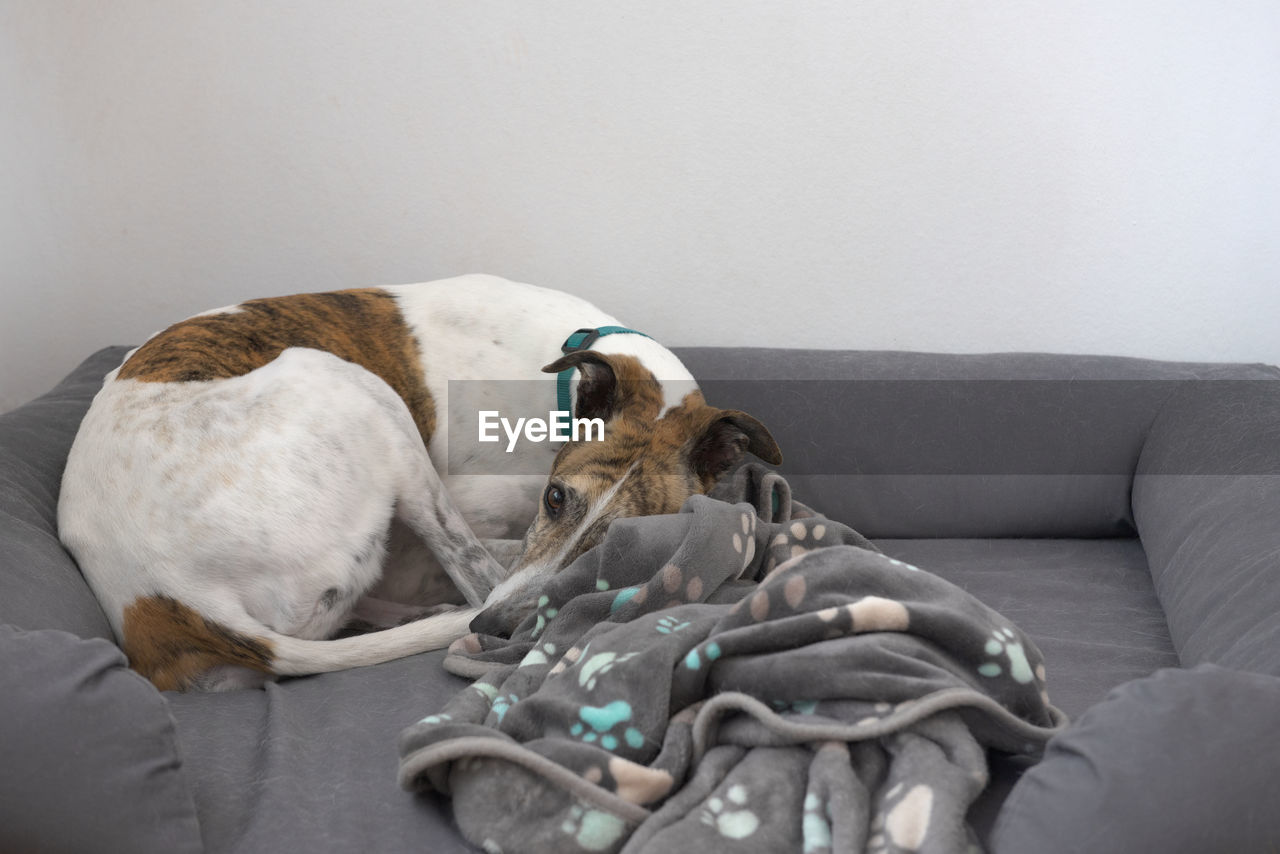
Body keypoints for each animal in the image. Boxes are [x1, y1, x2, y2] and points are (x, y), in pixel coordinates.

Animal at [57, 277, 778, 691]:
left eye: (632, 536)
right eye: (554, 498)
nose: (499, 631)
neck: (565, 381)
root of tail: (160, 592)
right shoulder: (481, 513)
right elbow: (492, 563)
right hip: (353, 390)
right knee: (473, 574)